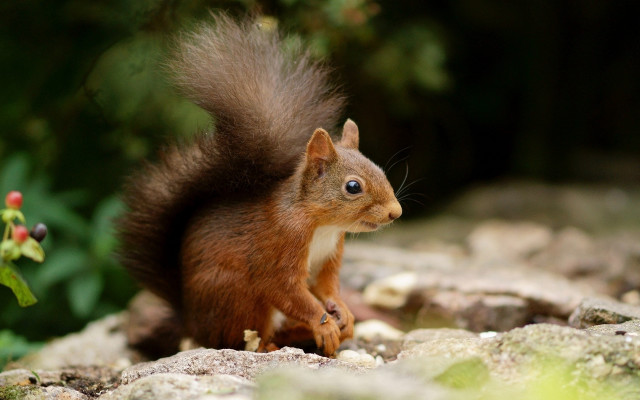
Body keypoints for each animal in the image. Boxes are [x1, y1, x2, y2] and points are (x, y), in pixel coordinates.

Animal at [117, 14, 402, 358]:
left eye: (380, 170)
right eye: (353, 187)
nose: (396, 212)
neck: (321, 224)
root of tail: (192, 323)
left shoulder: (330, 255)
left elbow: (326, 287)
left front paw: (342, 311)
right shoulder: (279, 248)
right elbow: (287, 291)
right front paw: (323, 323)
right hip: (239, 298)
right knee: (240, 339)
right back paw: (270, 344)